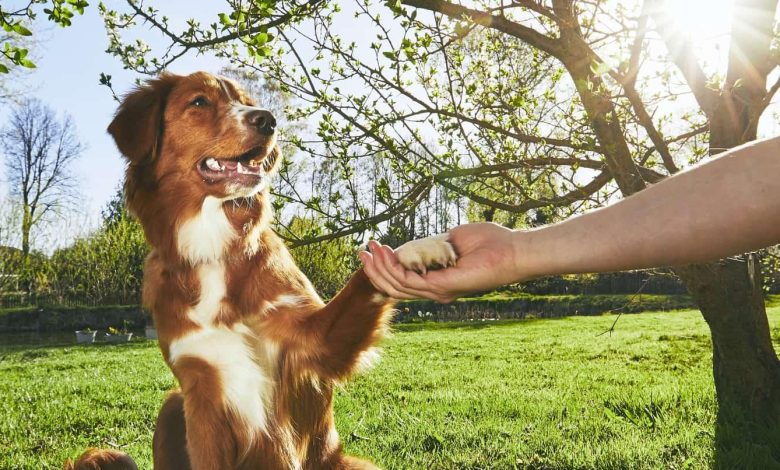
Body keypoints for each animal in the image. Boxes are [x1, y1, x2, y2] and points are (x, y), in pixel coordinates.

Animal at [68, 70, 458, 470]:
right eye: (199, 101)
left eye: (246, 101)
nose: (268, 120)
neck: (214, 249)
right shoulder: (200, 388)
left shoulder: (312, 341)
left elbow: (364, 277)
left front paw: (418, 249)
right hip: (173, 403)